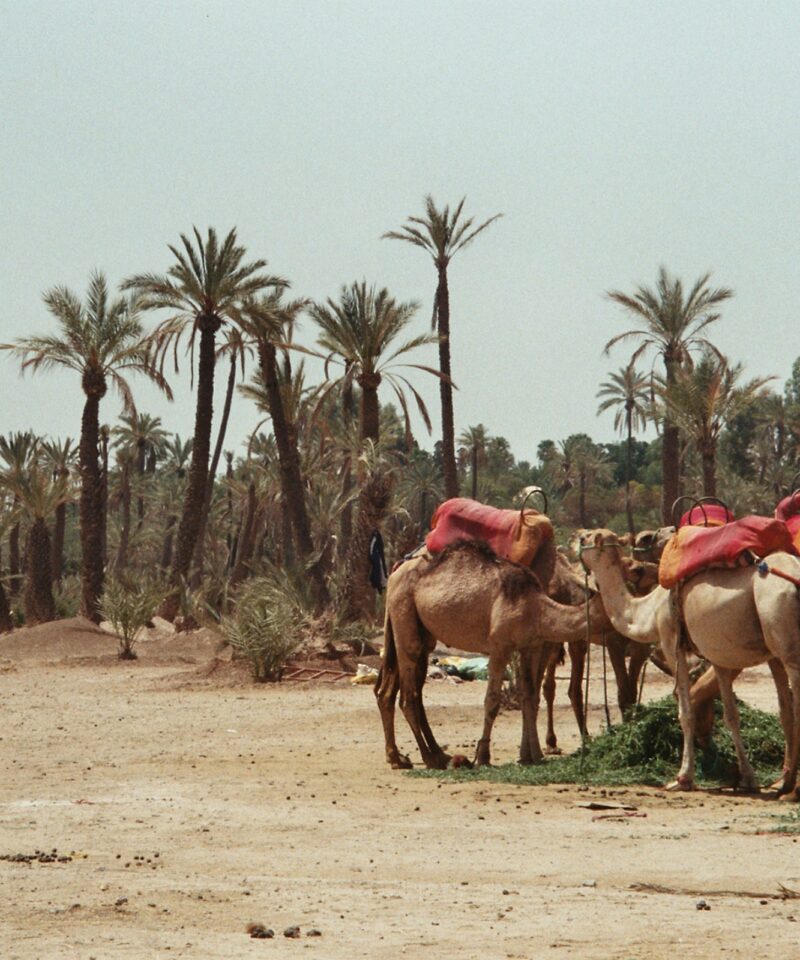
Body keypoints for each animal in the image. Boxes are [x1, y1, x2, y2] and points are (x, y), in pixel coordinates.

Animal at [374, 539, 609, 769]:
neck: (536, 607)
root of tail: (395, 573)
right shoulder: (499, 647)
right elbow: (493, 700)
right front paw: (484, 756)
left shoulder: (531, 646)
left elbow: (529, 695)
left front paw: (533, 755)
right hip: (404, 614)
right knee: (408, 696)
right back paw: (429, 759)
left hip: (422, 633)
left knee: (392, 692)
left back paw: (416, 756)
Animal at [578, 528, 800, 800]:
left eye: (587, 538)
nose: (574, 537)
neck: (649, 610)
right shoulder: (718, 655)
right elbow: (731, 715)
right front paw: (747, 778)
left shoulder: (671, 641)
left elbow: (686, 712)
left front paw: (682, 778)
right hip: (774, 648)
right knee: (786, 709)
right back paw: (786, 784)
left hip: (784, 634)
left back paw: (793, 790)